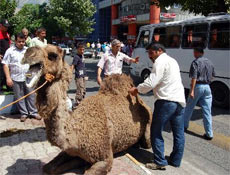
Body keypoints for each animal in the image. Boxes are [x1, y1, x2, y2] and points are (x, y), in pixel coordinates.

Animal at [21, 44, 153, 174]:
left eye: (53, 55)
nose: (28, 53)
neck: (77, 134)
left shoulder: (105, 157)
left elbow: (89, 170)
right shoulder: (72, 151)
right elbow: (49, 168)